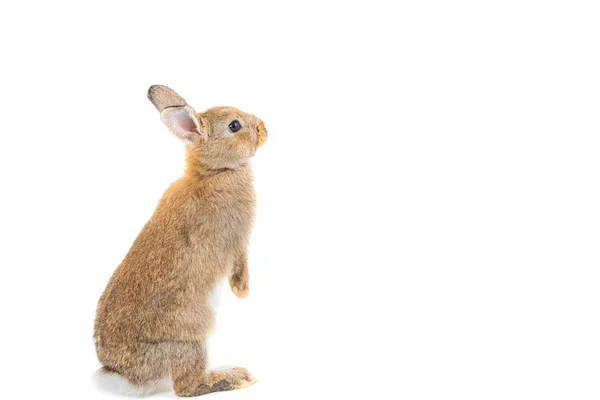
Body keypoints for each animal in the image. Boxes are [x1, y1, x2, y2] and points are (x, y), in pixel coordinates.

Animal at [94, 85, 268, 396]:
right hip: (190, 337)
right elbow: (240, 263)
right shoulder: (239, 237)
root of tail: (123, 375)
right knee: (188, 385)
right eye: (234, 126)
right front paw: (243, 291)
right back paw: (234, 376)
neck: (214, 172)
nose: (263, 127)